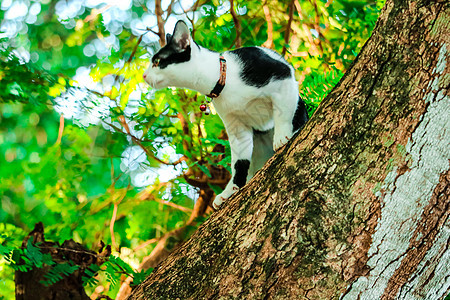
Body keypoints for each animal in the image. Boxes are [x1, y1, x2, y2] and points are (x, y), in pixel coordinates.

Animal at [144, 20, 310, 209]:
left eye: (157, 61)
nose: (144, 75)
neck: (222, 78)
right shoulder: (236, 127)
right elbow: (239, 162)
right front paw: (230, 190)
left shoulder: (282, 75)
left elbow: (283, 114)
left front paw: (282, 136)